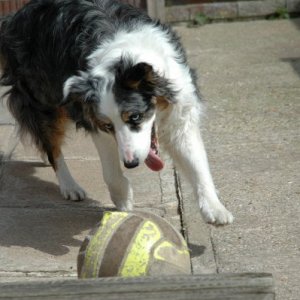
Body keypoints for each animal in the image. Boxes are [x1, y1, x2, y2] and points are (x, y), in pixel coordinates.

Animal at [0, 0, 233, 225]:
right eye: (108, 125)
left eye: (135, 117)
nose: (131, 163)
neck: (125, 59)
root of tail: (14, 16)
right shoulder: (93, 119)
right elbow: (110, 170)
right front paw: (123, 199)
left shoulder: (181, 112)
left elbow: (196, 161)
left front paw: (215, 209)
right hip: (43, 96)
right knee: (50, 141)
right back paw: (69, 185)